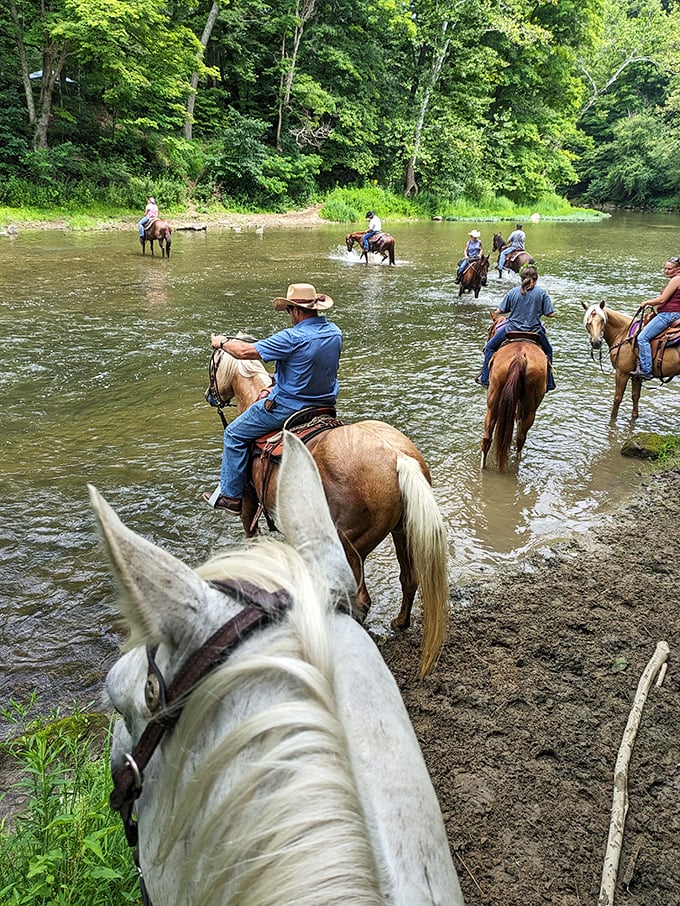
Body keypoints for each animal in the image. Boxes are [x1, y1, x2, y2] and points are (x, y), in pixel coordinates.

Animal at [206, 348, 452, 680]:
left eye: (212, 367)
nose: (210, 395)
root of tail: (397, 456)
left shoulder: (247, 503)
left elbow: (250, 535)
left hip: (351, 545)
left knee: (362, 601)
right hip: (400, 530)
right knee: (408, 578)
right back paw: (399, 622)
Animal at [484, 310, 548, 470]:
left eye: (490, 330)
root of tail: (520, 356)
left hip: (494, 399)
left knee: (489, 434)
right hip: (528, 405)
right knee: (520, 435)